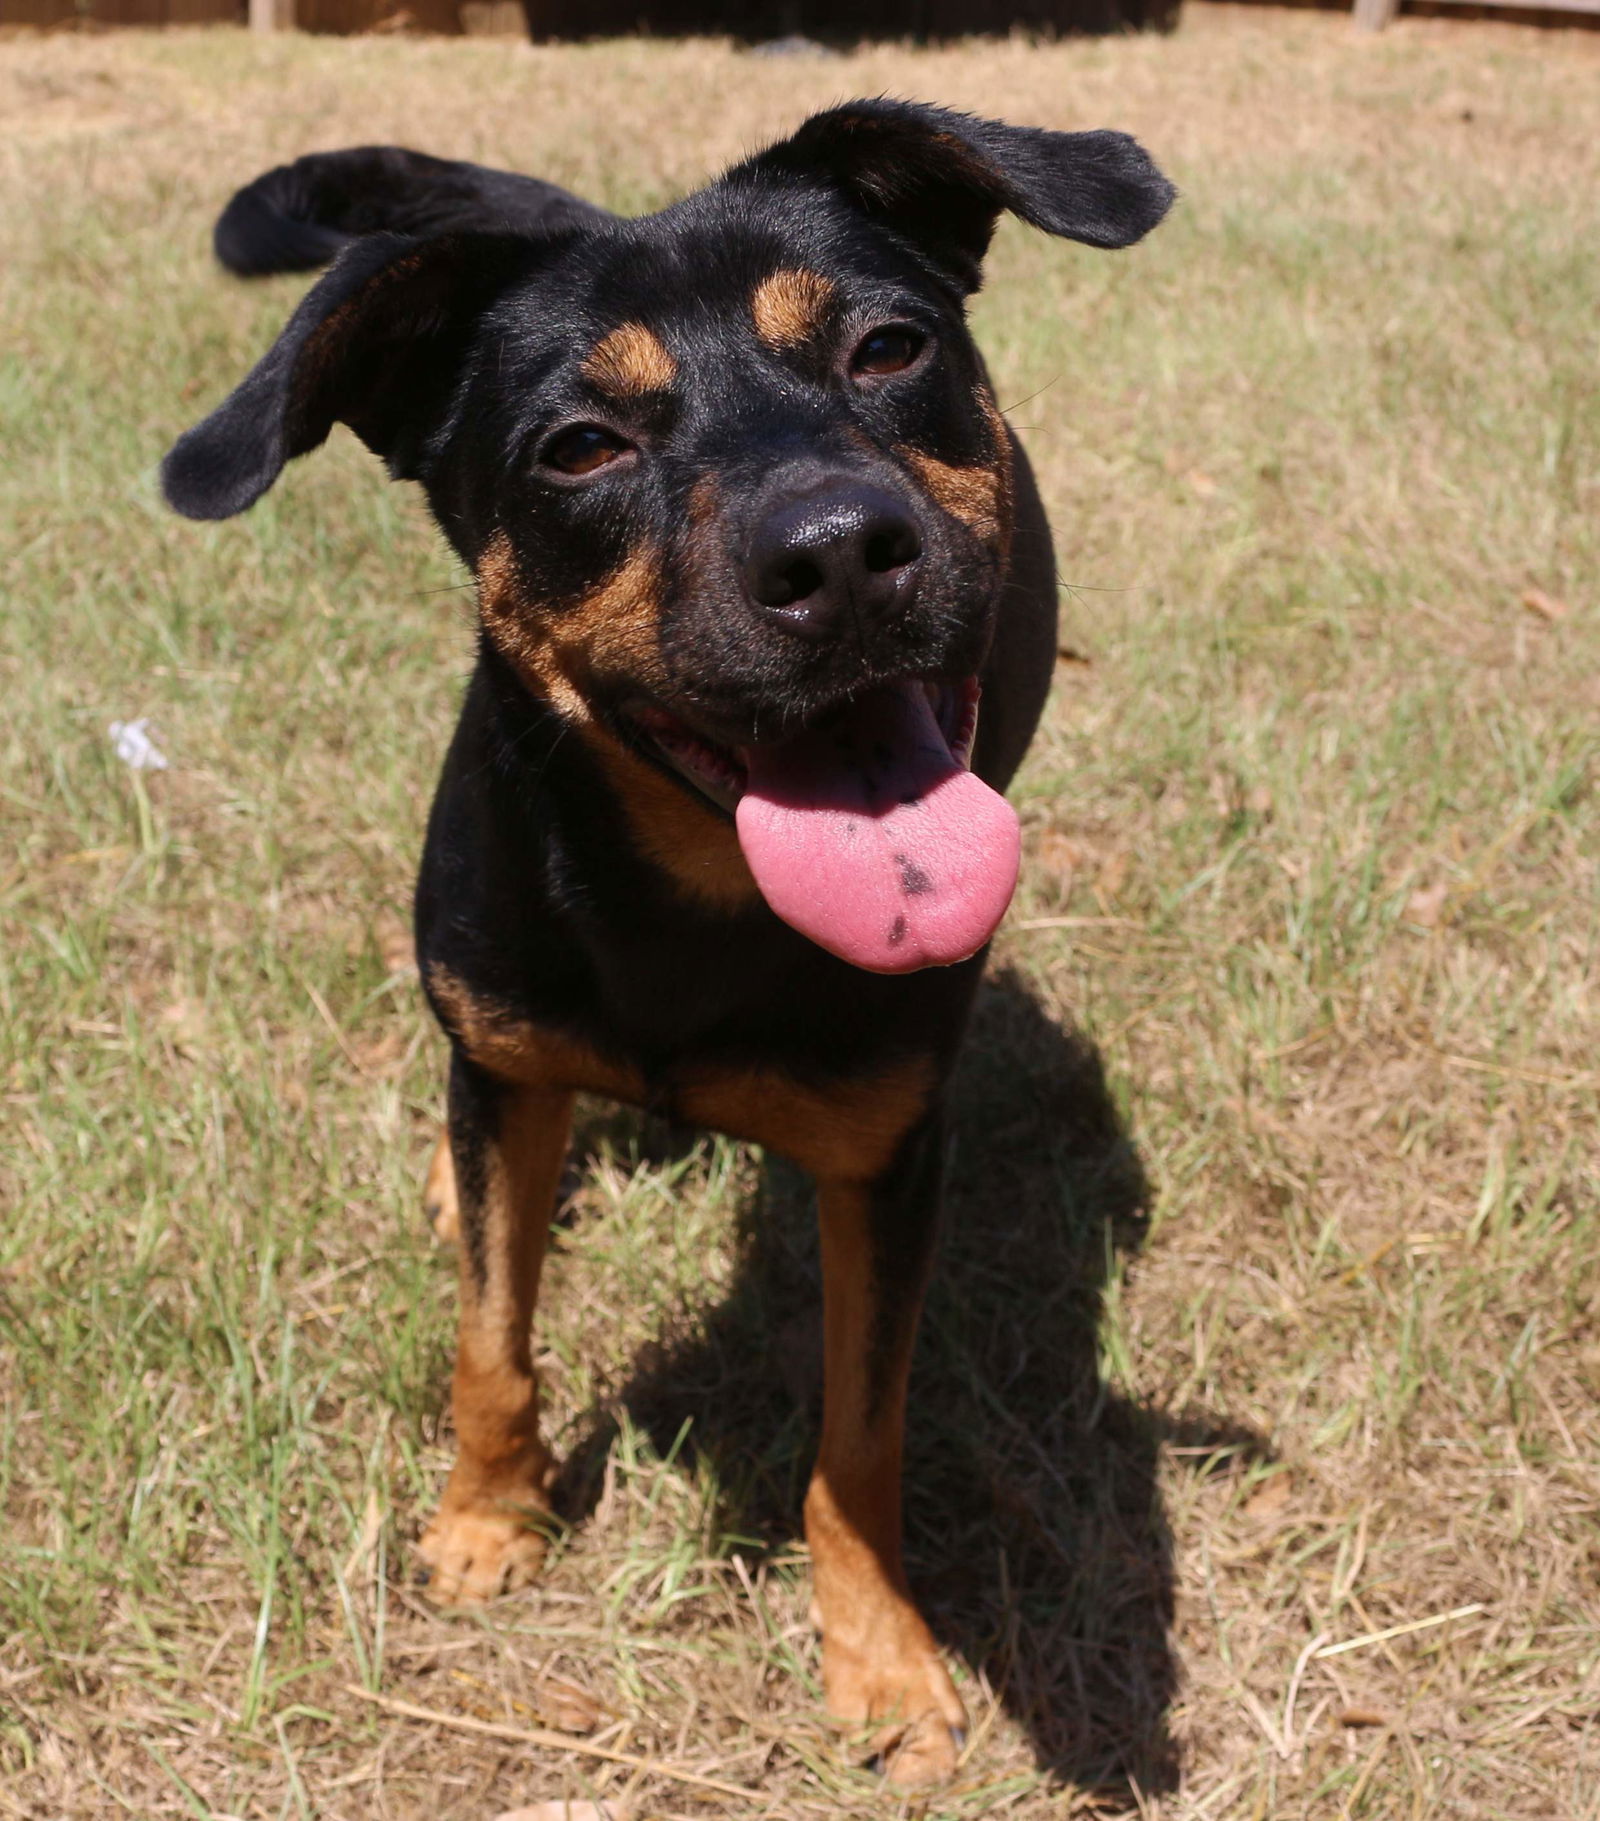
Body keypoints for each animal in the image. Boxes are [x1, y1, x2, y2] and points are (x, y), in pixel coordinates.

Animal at [162, 106, 1172, 1784]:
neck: (691, 897)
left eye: (888, 347)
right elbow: (491, 1335)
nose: (841, 551)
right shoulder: (508, 1051)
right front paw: (487, 1524)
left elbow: (860, 1436)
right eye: (580, 445)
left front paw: (882, 1661)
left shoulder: (890, 1158)